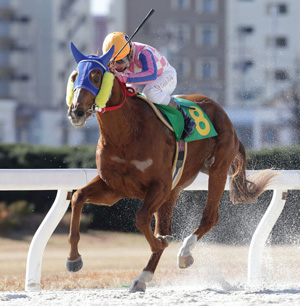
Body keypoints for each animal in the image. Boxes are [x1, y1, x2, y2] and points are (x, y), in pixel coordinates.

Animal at [67, 44, 274, 292]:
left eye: (96, 77)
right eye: (75, 76)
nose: (76, 111)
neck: (128, 132)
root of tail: (223, 113)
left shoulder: (159, 186)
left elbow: (142, 219)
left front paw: (160, 244)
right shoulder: (113, 188)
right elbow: (78, 197)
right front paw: (74, 259)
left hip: (217, 169)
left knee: (210, 217)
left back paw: (184, 253)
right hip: (176, 188)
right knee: (166, 226)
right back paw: (143, 277)